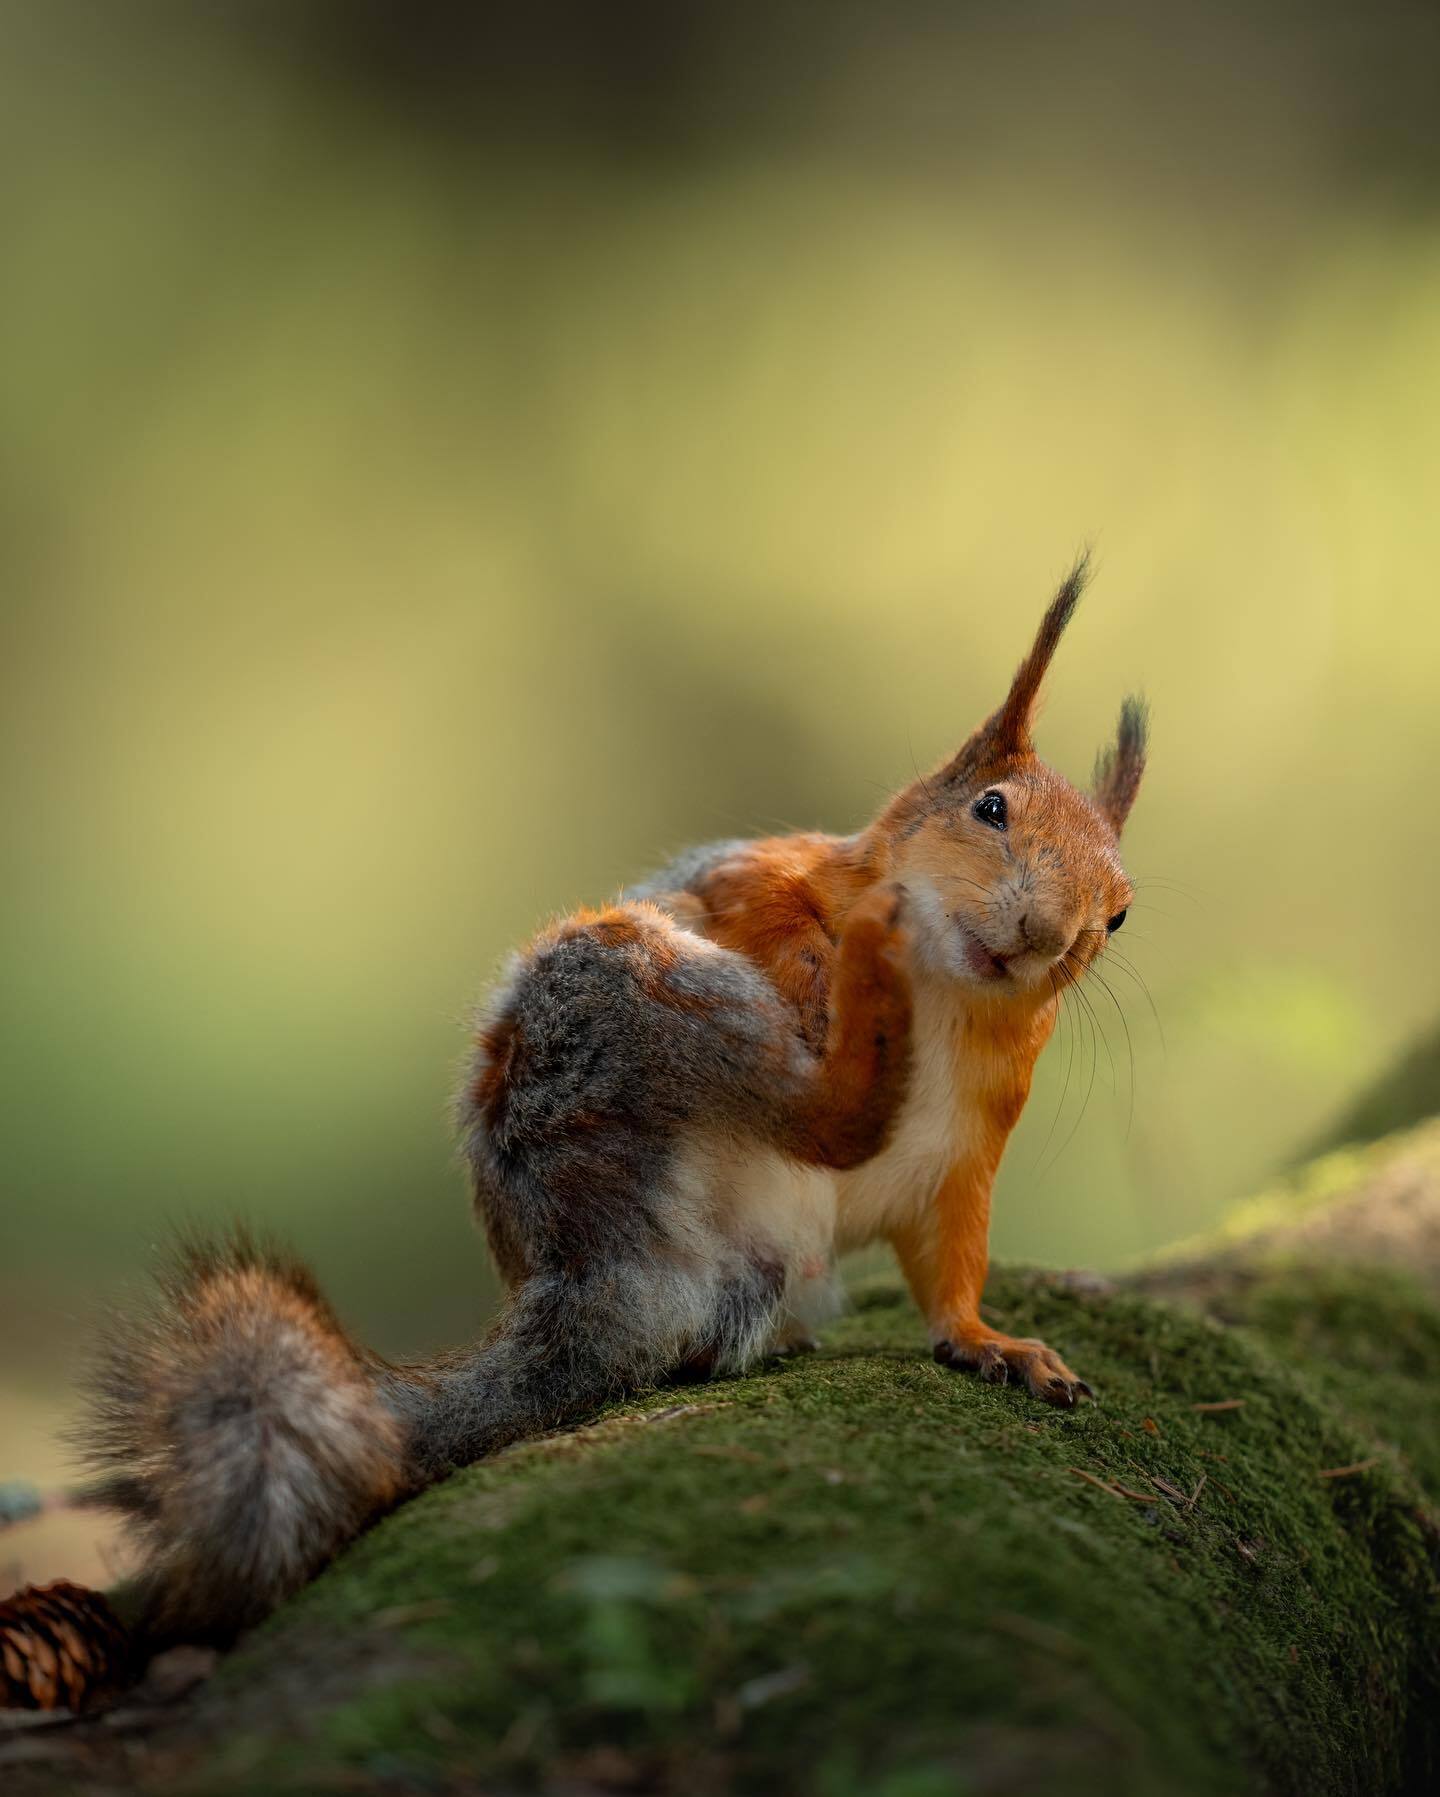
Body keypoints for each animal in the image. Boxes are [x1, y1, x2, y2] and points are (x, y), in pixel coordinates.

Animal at [58, 557, 1143, 1646]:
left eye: (1121, 915)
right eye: (992, 809)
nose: (1045, 936)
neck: (949, 997)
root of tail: (595, 1267)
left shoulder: (964, 1158)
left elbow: (951, 1270)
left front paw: (992, 1343)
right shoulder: (761, 872)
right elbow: (765, 901)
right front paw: (827, 950)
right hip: (632, 998)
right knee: (823, 1118)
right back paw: (866, 959)